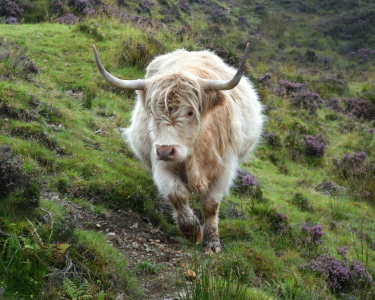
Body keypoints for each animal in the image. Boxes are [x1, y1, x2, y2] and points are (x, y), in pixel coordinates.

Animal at [93, 43, 264, 252]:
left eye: (190, 112)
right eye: (152, 112)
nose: (166, 151)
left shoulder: (224, 168)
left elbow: (211, 205)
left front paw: (212, 243)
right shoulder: (160, 163)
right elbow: (177, 195)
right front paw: (193, 232)